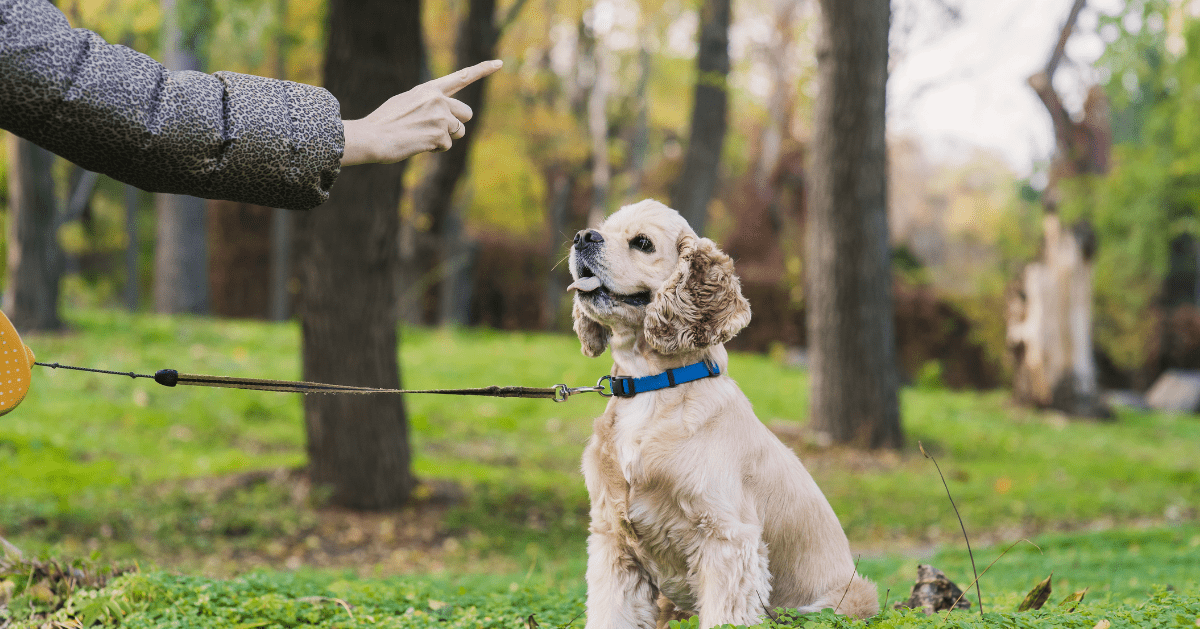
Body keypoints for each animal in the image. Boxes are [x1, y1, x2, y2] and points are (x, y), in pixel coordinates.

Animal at [566, 200, 878, 629]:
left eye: (642, 243)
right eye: (603, 227)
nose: (582, 236)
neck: (650, 386)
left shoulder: (726, 538)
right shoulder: (613, 539)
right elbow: (611, 613)